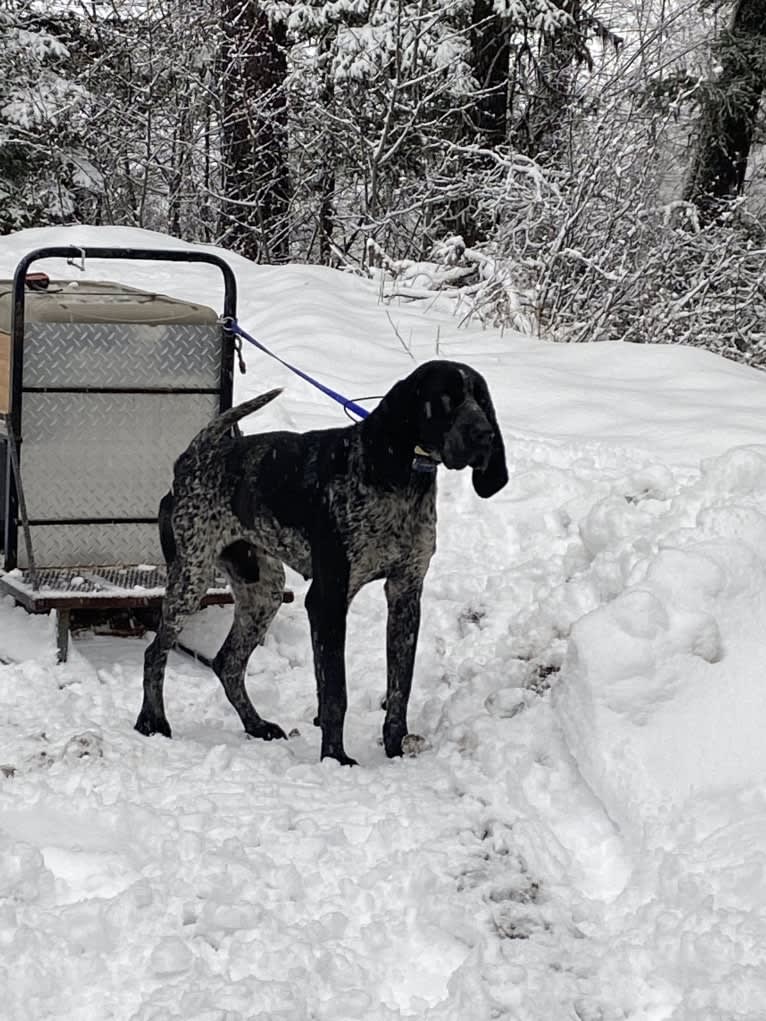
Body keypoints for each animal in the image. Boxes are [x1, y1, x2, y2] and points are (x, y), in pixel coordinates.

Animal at [136, 359, 510, 767]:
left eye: (482, 400)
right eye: (446, 398)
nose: (486, 435)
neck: (404, 479)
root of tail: (190, 460)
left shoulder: (406, 594)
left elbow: (400, 688)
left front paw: (395, 748)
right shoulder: (329, 598)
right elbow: (334, 693)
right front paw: (336, 758)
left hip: (263, 592)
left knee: (228, 663)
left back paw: (255, 725)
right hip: (192, 576)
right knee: (156, 652)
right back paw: (151, 721)